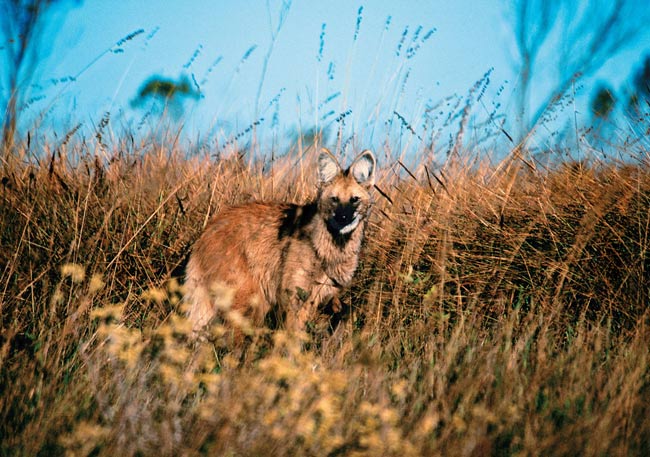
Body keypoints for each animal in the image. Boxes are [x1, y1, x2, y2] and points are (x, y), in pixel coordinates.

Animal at [182, 148, 374, 334]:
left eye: (354, 200)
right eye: (334, 199)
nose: (343, 218)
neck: (328, 248)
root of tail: (208, 229)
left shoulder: (320, 294)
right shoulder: (295, 296)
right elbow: (294, 336)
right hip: (250, 299)